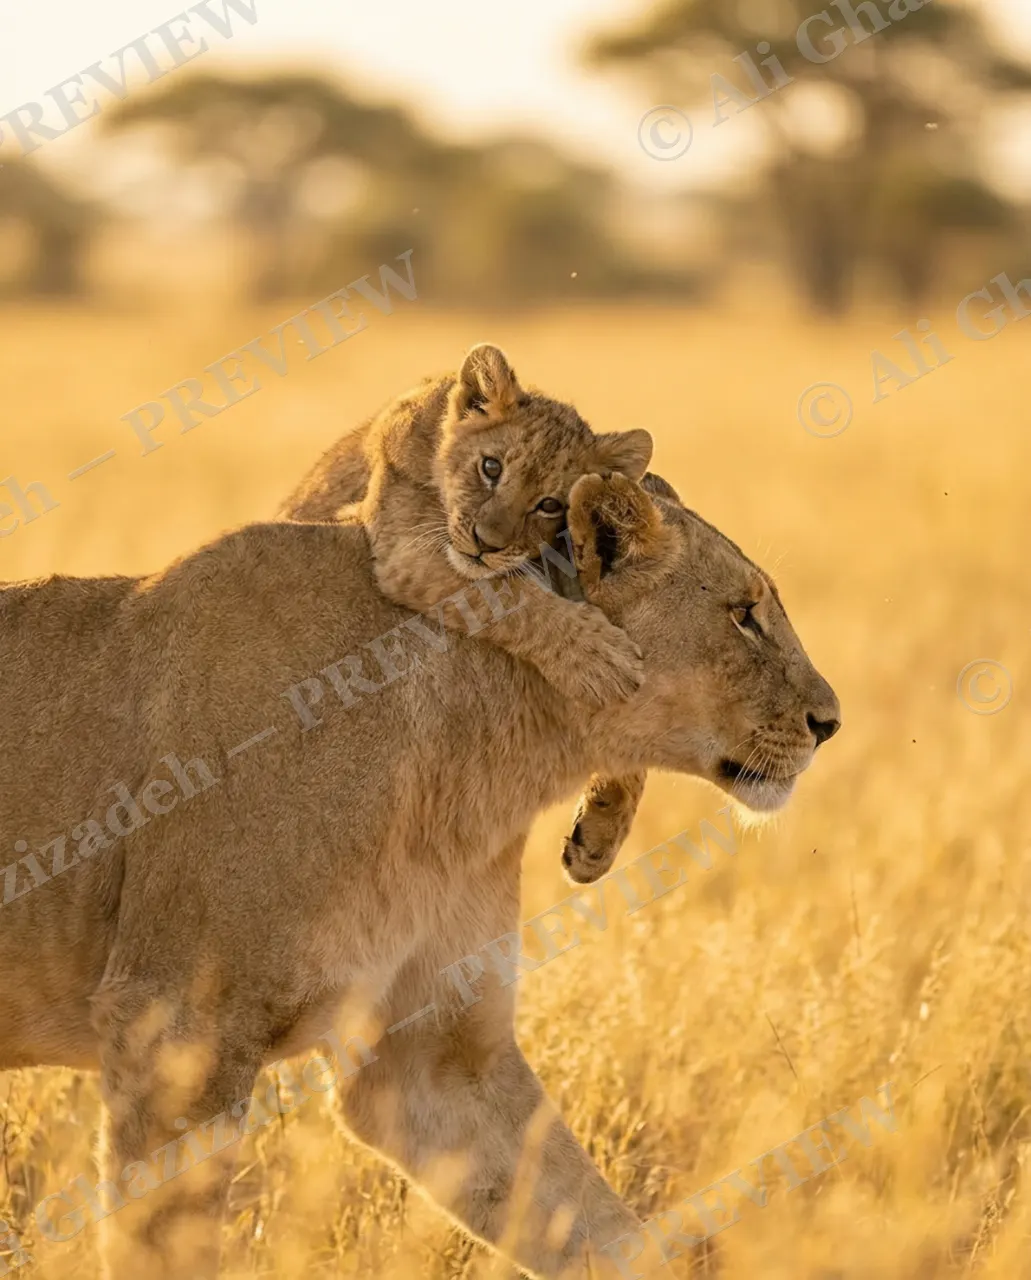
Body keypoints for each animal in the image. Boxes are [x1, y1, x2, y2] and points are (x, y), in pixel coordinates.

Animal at [0, 472, 839, 1278]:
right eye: (742, 613)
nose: (829, 723)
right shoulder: (176, 1021)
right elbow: (166, 1243)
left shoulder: (430, 1052)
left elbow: (595, 1227)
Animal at [280, 342, 656, 884]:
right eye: (491, 467)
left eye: (550, 504)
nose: (486, 544)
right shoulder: (406, 550)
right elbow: (510, 596)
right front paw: (601, 662)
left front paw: (601, 834)